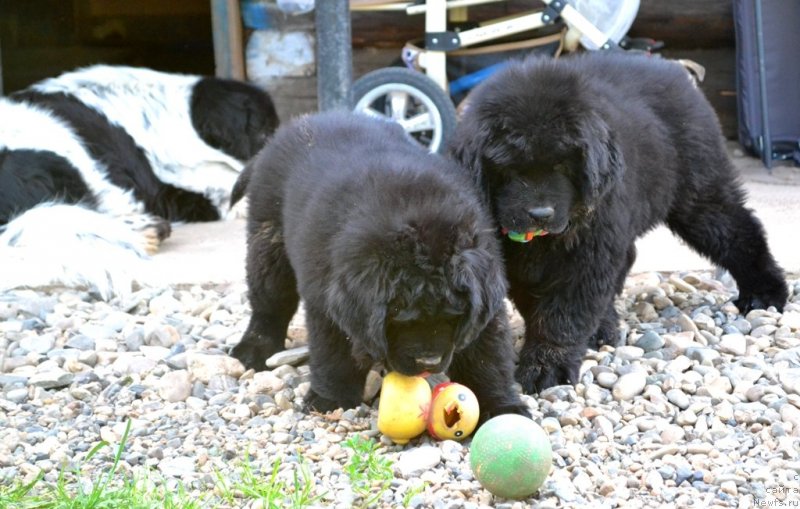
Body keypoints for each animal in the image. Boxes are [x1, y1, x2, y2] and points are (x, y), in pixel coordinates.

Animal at [228, 110, 528, 416]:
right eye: (401, 321)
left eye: (453, 316)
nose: (429, 362)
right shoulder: (327, 300)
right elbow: (335, 351)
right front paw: (330, 399)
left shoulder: (483, 301)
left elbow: (486, 356)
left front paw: (502, 406)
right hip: (268, 240)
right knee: (270, 302)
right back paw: (254, 349)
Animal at [450, 52, 788, 392]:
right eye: (509, 168)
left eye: (562, 165)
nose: (541, 214)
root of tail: (674, 67)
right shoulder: (520, 261)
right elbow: (541, 306)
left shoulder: (590, 250)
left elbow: (564, 312)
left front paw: (548, 366)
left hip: (698, 193)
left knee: (737, 231)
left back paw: (766, 293)